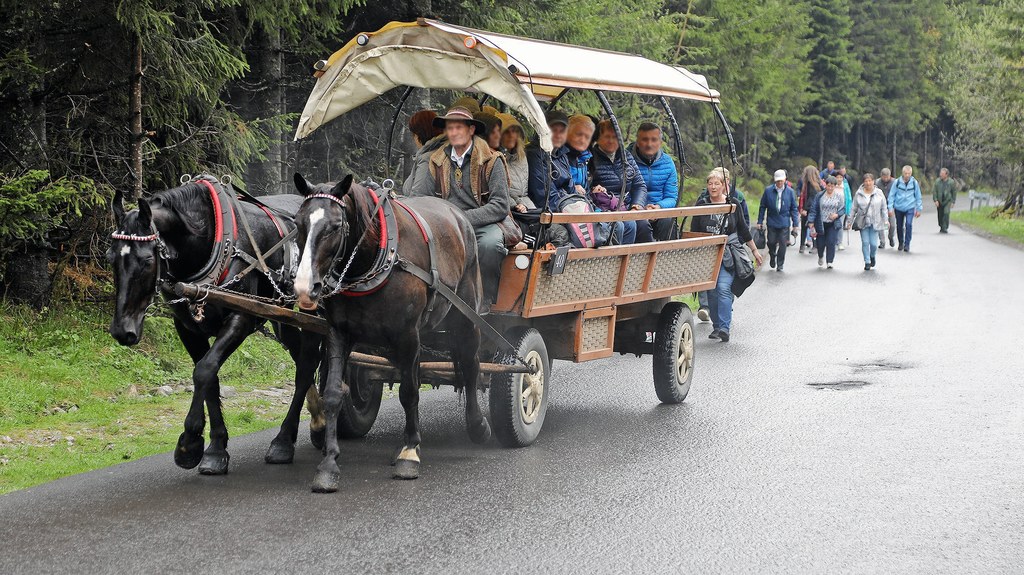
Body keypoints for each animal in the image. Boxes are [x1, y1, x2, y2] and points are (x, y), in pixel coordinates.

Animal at [109, 177, 323, 472]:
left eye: (147, 260)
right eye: (110, 257)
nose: (123, 331)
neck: (210, 242)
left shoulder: (241, 318)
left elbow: (204, 370)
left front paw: (189, 441)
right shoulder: (187, 328)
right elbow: (210, 379)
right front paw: (215, 447)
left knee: (306, 363)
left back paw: (284, 440)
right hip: (283, 314)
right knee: (302, 356)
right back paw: (315, 421)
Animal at [292, 171, 491, 491]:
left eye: (334, 226)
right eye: (298, 223)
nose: (304, 288)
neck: (372, 260)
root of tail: (457, 213)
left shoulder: (408, 336)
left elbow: (409, 392)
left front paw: (409, 453)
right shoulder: (338, 332)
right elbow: (333, 393)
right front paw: (329, 462)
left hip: (467, 317)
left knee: (471, 366)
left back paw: (477, 425)